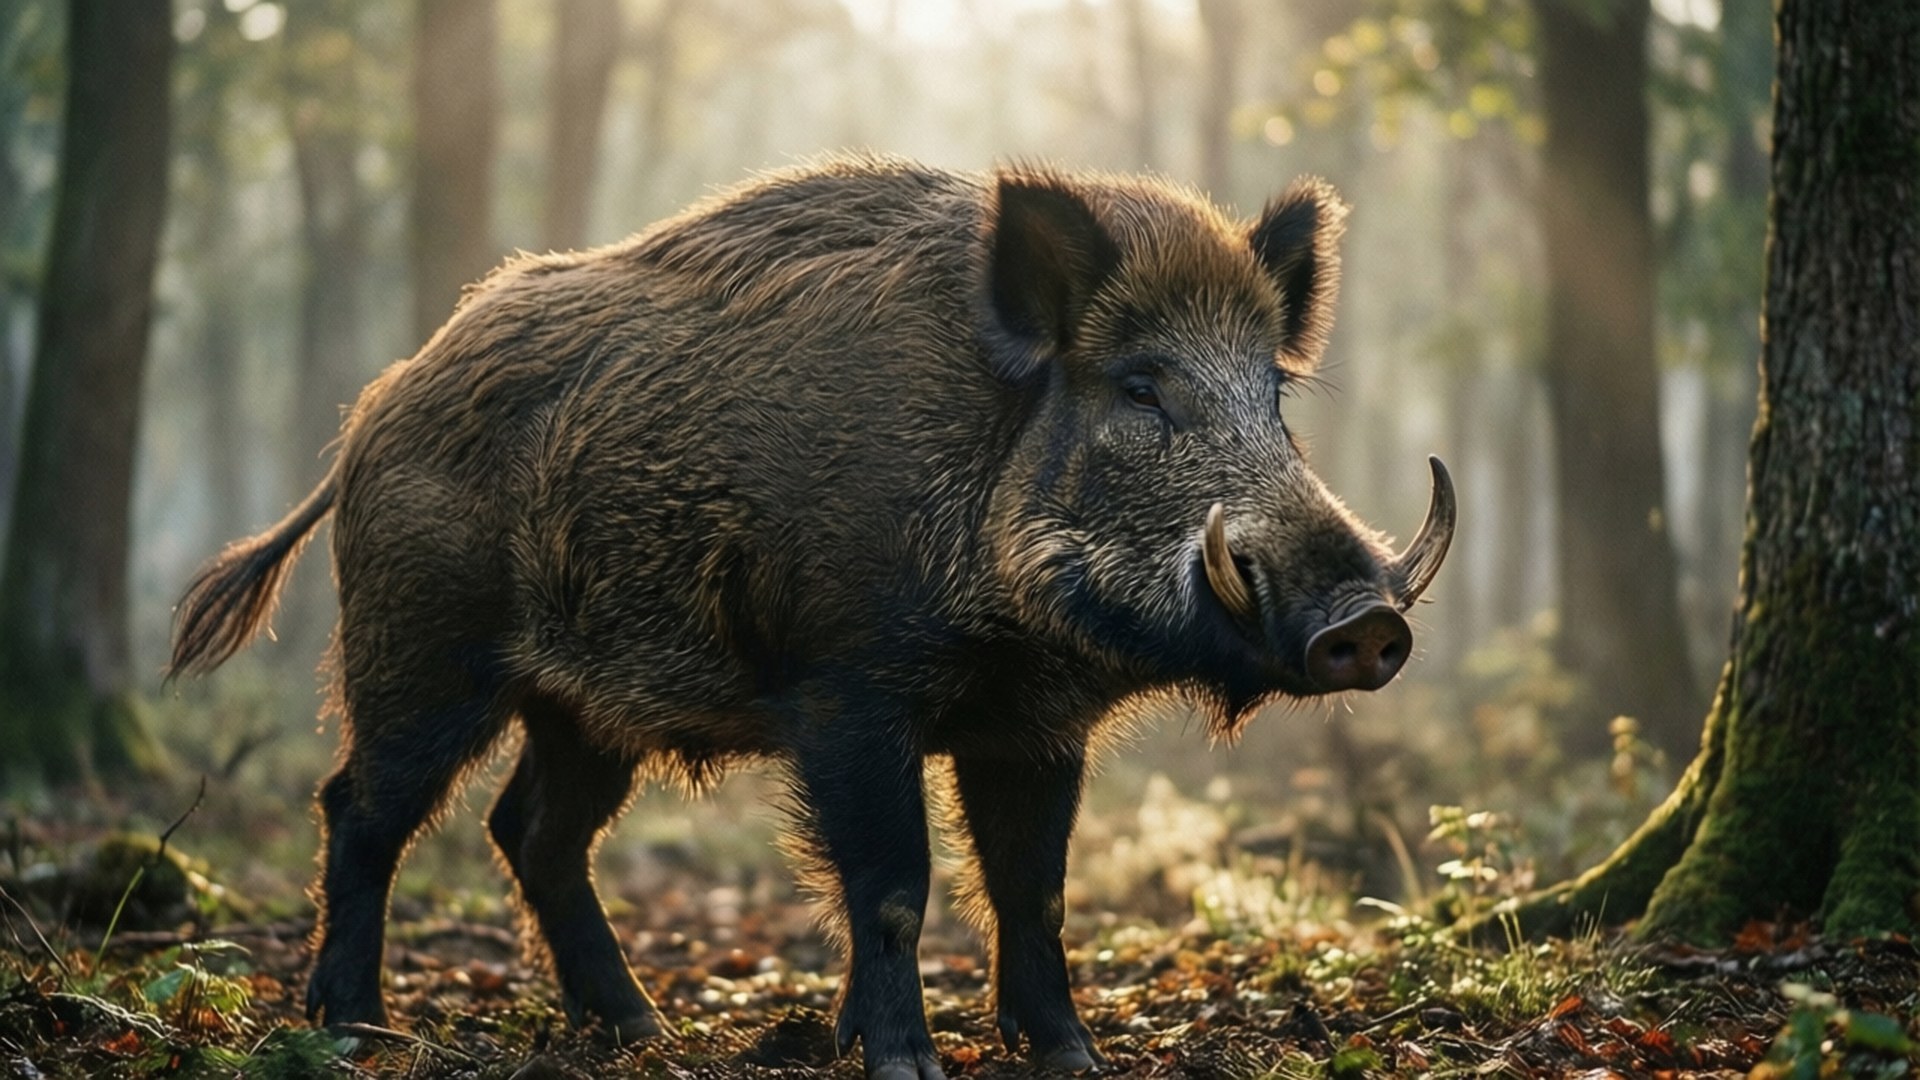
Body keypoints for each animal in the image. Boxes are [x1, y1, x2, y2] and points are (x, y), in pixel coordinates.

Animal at [168, 155, 1453, 1080]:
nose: (1366, 622)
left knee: (532, 829)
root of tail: (373, 411)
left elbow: (1035, 888)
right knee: (362, 808)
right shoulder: (847, 692)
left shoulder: (1032, 724)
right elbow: (892, 883)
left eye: (1274, 395)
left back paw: (642, 1033)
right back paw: (355, 1032)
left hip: (585, 706)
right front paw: (904, 1066)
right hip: (423, 651)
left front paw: (1075, 1060)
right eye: (1141, 387)